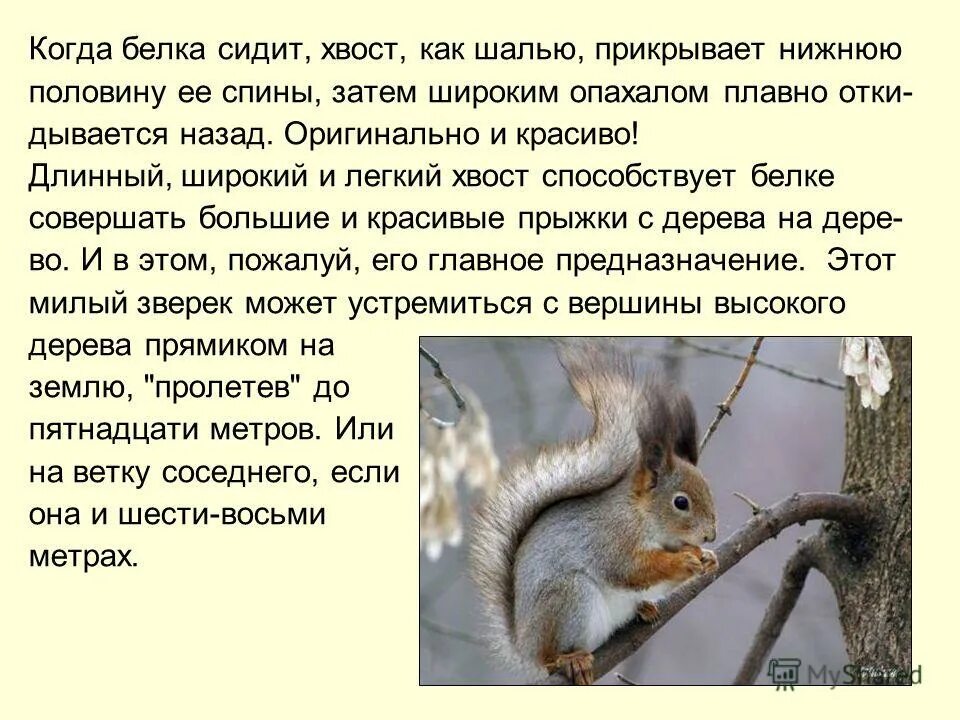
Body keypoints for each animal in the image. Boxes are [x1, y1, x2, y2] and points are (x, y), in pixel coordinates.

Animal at [470, 339, 718, 685]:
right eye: (681, 502)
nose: (711, 534)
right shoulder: (611, 536)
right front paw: (683, 561)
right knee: (549, 657)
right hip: (569, 597)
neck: (643, 517)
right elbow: (631, 569)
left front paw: (707, 557)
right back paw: (568, 660)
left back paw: (644, 609)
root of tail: (523, 644)